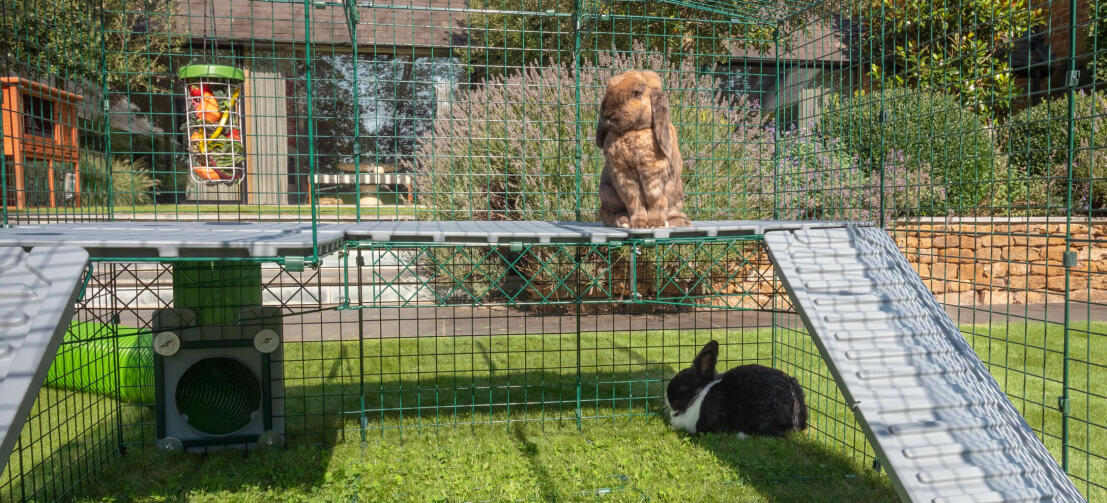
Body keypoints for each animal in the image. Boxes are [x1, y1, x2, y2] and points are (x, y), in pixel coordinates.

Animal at [595, 70, 691, 229]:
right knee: (607, 214)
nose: (607, 113)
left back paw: (677, 222)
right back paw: (623, 221)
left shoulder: (655, 176)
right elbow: (635, 201)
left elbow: (656, 201)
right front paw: (638, 224)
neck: (634, 130)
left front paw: (655, 224)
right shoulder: (623, 175)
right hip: (607, 194)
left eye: (636, 93)